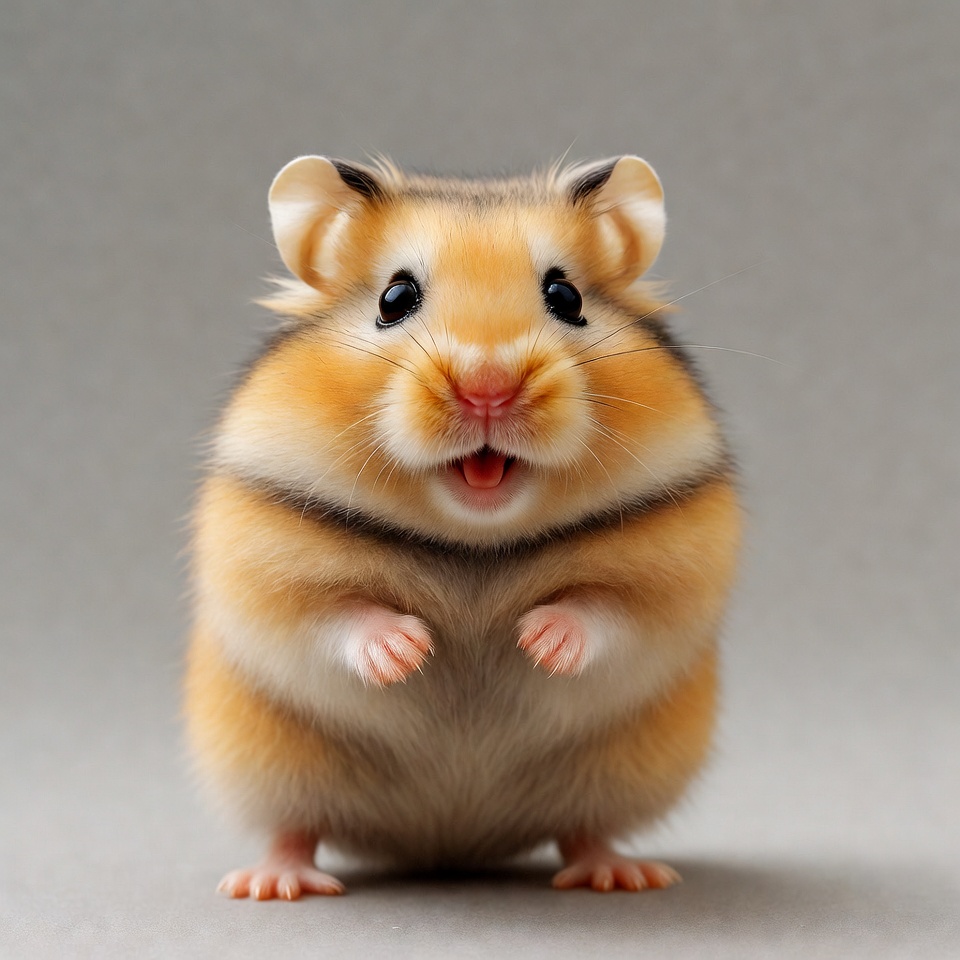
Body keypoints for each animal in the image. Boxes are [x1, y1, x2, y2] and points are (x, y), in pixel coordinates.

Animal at [184, 154, 741, 899]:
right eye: (395, 298)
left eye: (565, 295)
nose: (487, 386)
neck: (474, 544)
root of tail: (448, 846)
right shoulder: (260, 558)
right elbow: (335, 615)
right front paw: (408, 650)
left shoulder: (678, 566)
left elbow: (607, 609)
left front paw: (538, 640)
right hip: (269, 763)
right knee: (294, 827)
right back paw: (272, 884)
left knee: (584, 827)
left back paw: (621, 874)